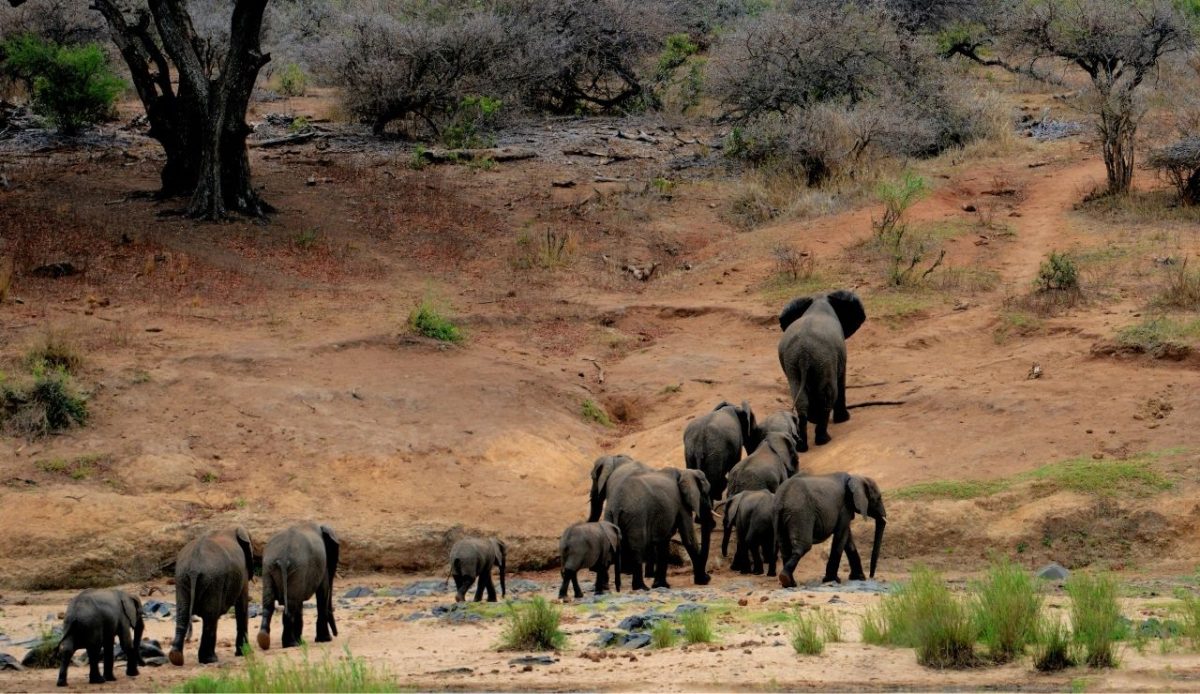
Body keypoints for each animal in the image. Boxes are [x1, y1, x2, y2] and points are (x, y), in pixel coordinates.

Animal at [168, 526, 254, 666]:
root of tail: (194, 568)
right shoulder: (244, 571)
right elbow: (242, 605)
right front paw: (244, 653)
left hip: (182, 577)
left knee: (183, 614)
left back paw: (176, 657)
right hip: (213, 580)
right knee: (210, 616)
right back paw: (210, 659)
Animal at [777, 290, 867, 450]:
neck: (819, 300)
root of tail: (804, 353)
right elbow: (841, 380)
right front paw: (844, 419)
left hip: (793, 362)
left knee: (800, 397)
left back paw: (802, 446)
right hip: (823, 358)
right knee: (829, 394)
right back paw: (824, 440)